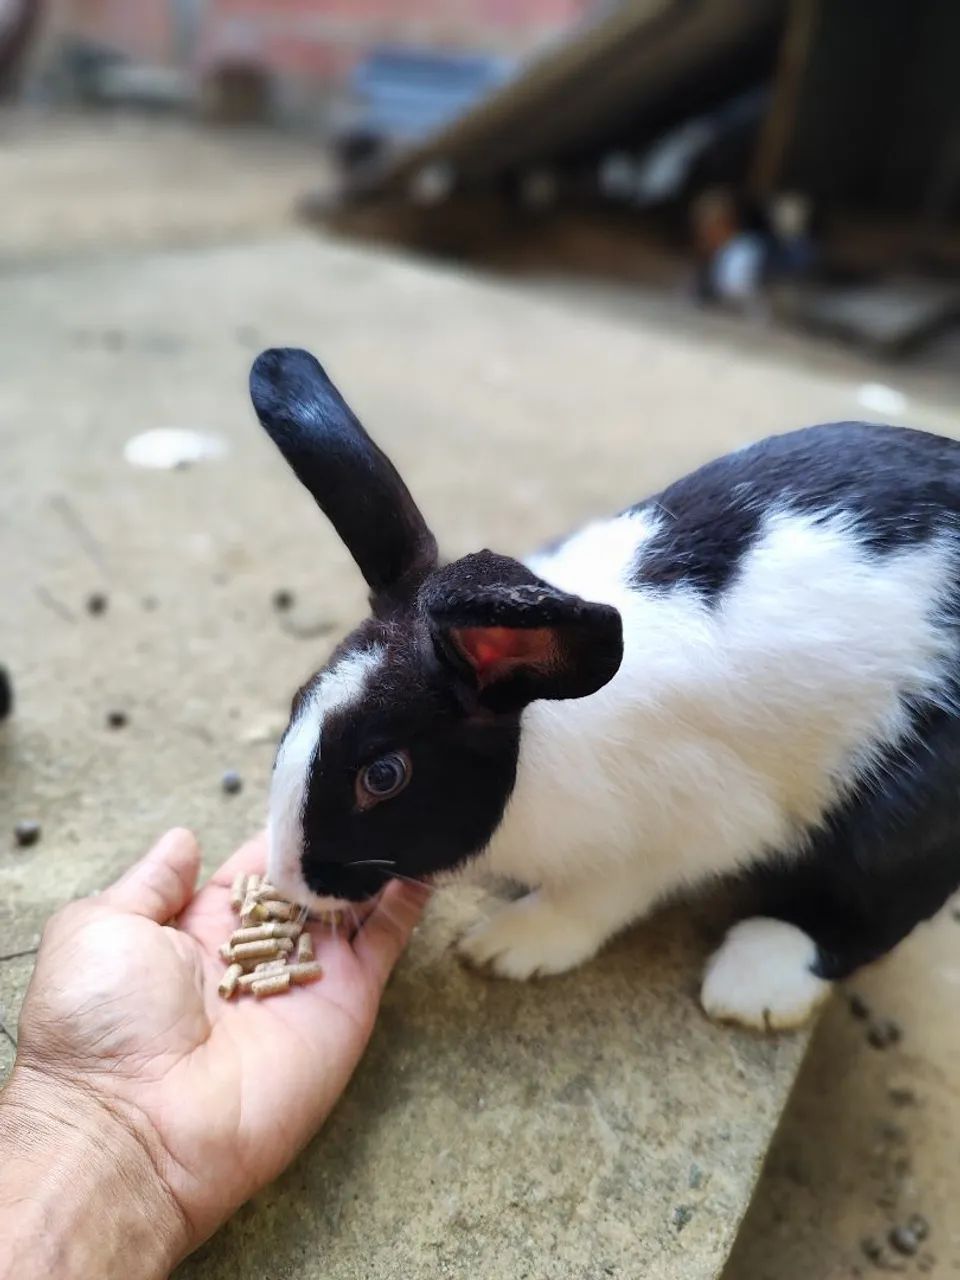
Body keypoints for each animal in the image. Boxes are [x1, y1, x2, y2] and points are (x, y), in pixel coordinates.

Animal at [250, 346, 960, 1030]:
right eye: (299, 699)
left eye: (384, 776)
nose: (287, 879)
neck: (533, 732)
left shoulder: (682, 830)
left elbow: (599, 898)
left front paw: (508, 946)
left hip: (899, 813)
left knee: (870, 905)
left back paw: (754, 986)